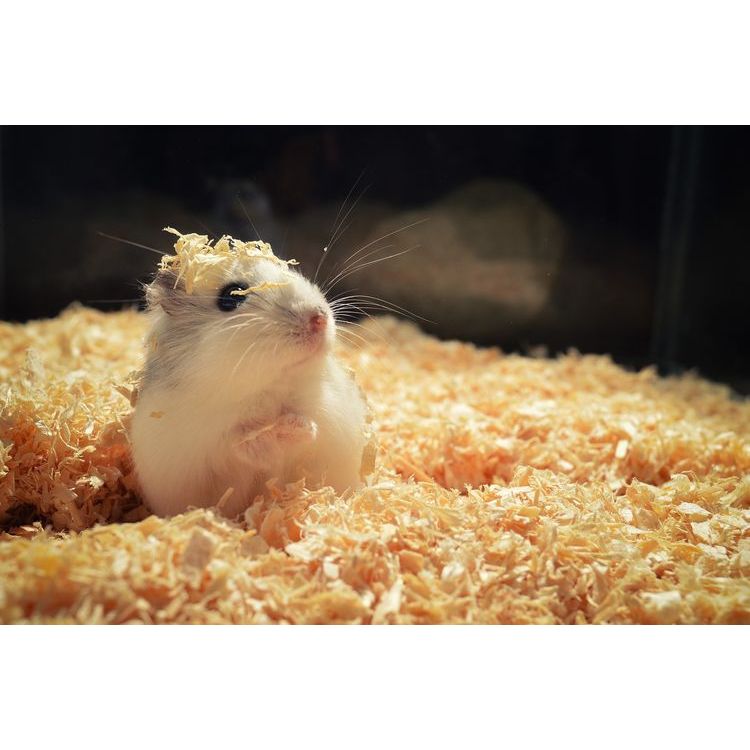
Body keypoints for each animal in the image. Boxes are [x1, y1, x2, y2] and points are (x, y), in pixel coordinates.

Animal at [130, 230, 369, 518]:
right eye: (231, 296)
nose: (319, 318)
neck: (264, 388)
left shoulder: (328, 414)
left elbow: (310, 426)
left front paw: (297, 427)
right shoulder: (204, 440)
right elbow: (239, 444)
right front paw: (272, 434)